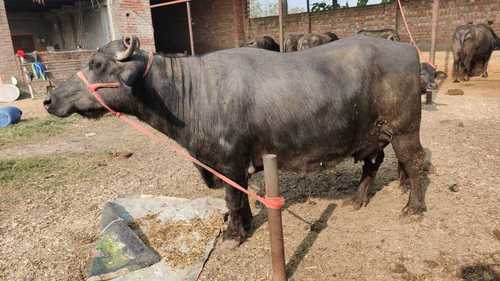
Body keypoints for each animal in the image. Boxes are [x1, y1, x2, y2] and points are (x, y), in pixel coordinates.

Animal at [44, 34, 426, 245]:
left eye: (96, 63)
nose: (49, 99)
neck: (191, 94)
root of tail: (407, 49)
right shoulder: (232, 164)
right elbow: (240, 199)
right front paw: (242, 225)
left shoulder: (228, 161)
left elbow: (231, 197)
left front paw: (233, 235)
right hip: (374, 135)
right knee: (374, 163)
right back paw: (358, 199)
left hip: (405, 130)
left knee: (415, 162)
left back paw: (414, 207)